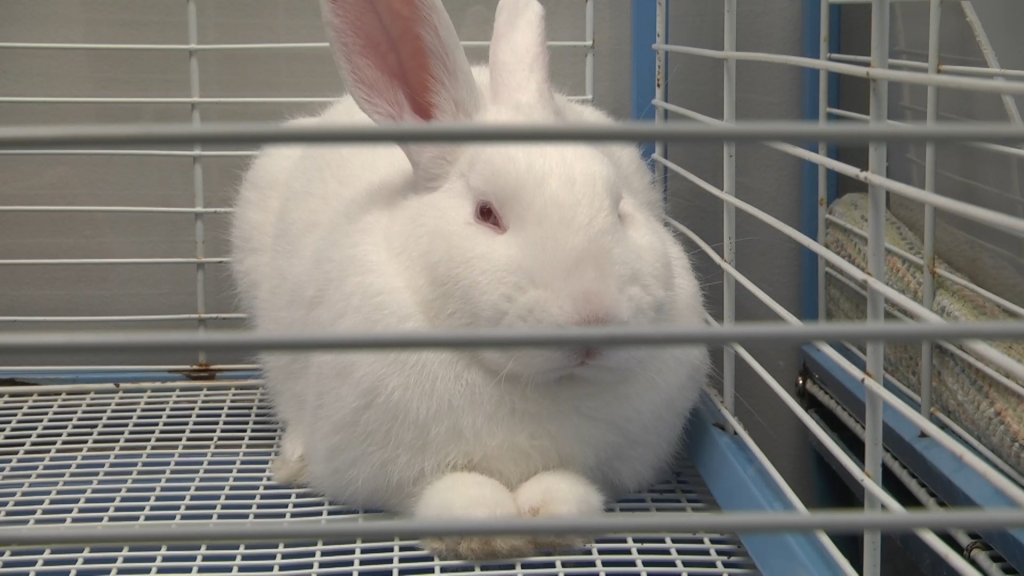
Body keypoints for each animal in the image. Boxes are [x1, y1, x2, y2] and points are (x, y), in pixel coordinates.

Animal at [229, 0, 710, 561]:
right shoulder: (381, 468)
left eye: (619, 208)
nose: (594, 318)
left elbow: (569, 485)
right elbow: (451, 491)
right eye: (487, 214)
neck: (522, 380)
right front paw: (485, 534)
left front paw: (547, 519)